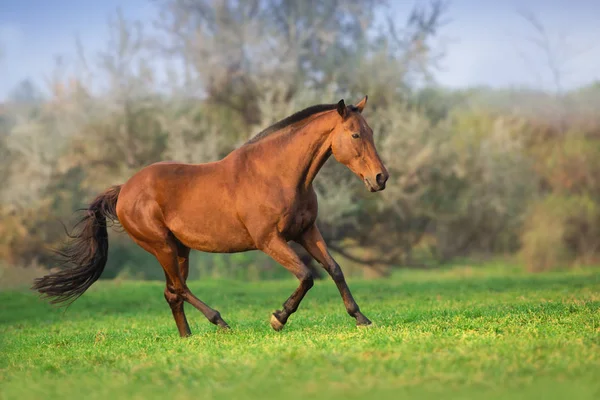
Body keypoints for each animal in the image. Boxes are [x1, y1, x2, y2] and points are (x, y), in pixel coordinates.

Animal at [32, 95, 390, 336]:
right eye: (356, 135)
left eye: (371, 131)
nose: (381, 178)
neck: (278, 174)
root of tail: (124, 190)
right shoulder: (269, 240)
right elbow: (306, 276)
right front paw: (278, 318)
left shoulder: (306, 231)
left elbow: (334, 269)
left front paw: (361, 318)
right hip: (161, 246)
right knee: (179, 289)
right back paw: (220, 322)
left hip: (179, 249)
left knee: (172, 293)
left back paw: (187, 338)